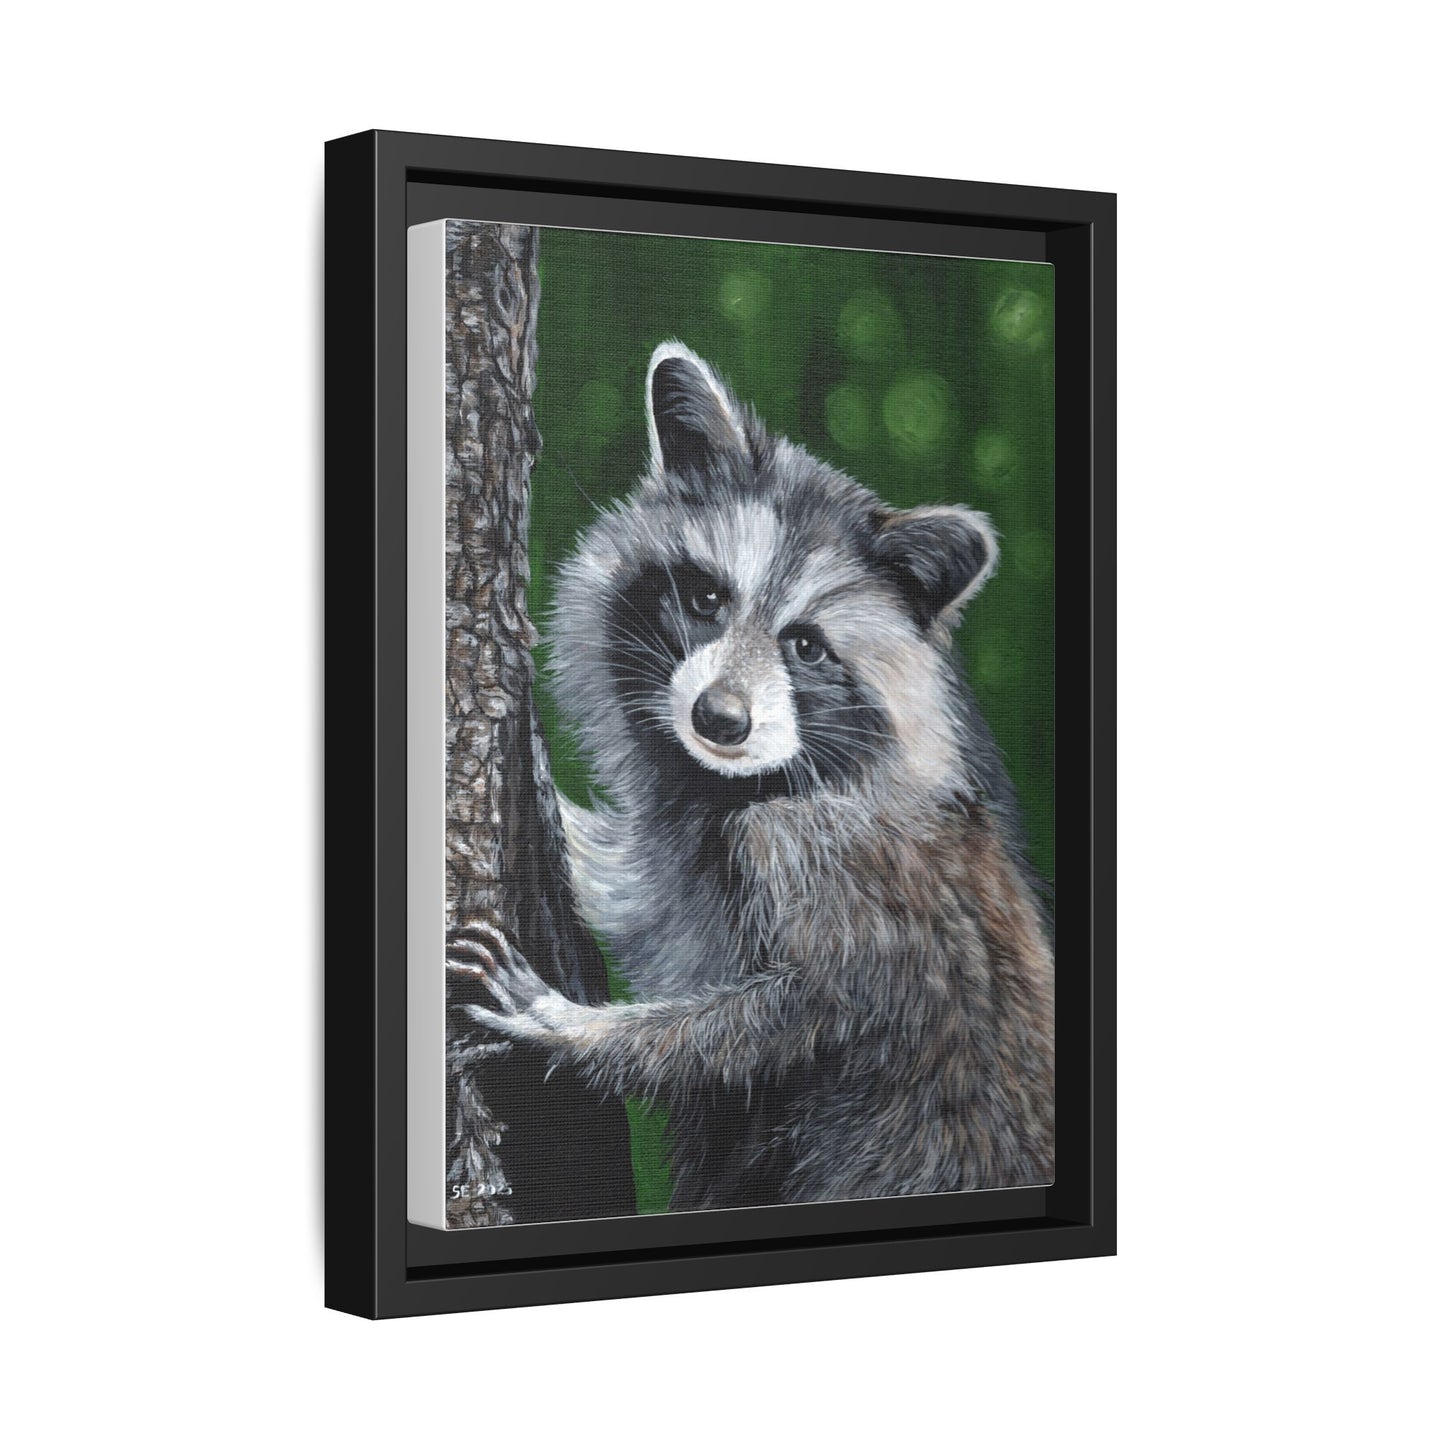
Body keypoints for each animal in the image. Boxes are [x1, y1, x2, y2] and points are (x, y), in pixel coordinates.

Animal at [452, 341, 1054, 1209]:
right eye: (706, 597)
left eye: (805, 646)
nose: (719, 719)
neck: (737, 783)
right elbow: (635, 892)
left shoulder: (832, 858)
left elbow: (785, 1016)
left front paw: (571, 1025)